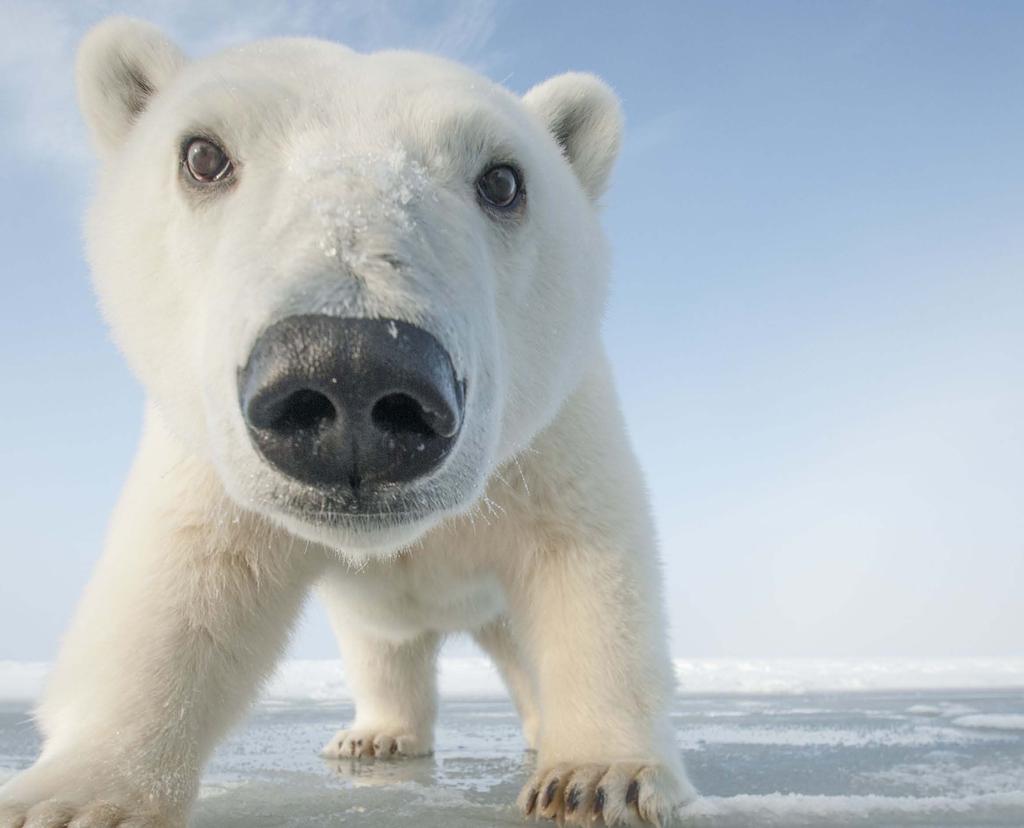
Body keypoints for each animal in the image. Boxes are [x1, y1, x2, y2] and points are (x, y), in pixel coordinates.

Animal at [0, 17, 696, 826]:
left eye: (503, 180)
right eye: (202, 155)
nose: (352, 372)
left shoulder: (552, 440)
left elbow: (588, 567)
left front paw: (600, 776)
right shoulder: (208, 468)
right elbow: (182, 589)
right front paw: (68, 796)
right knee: (383, 647)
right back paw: (377, 736)